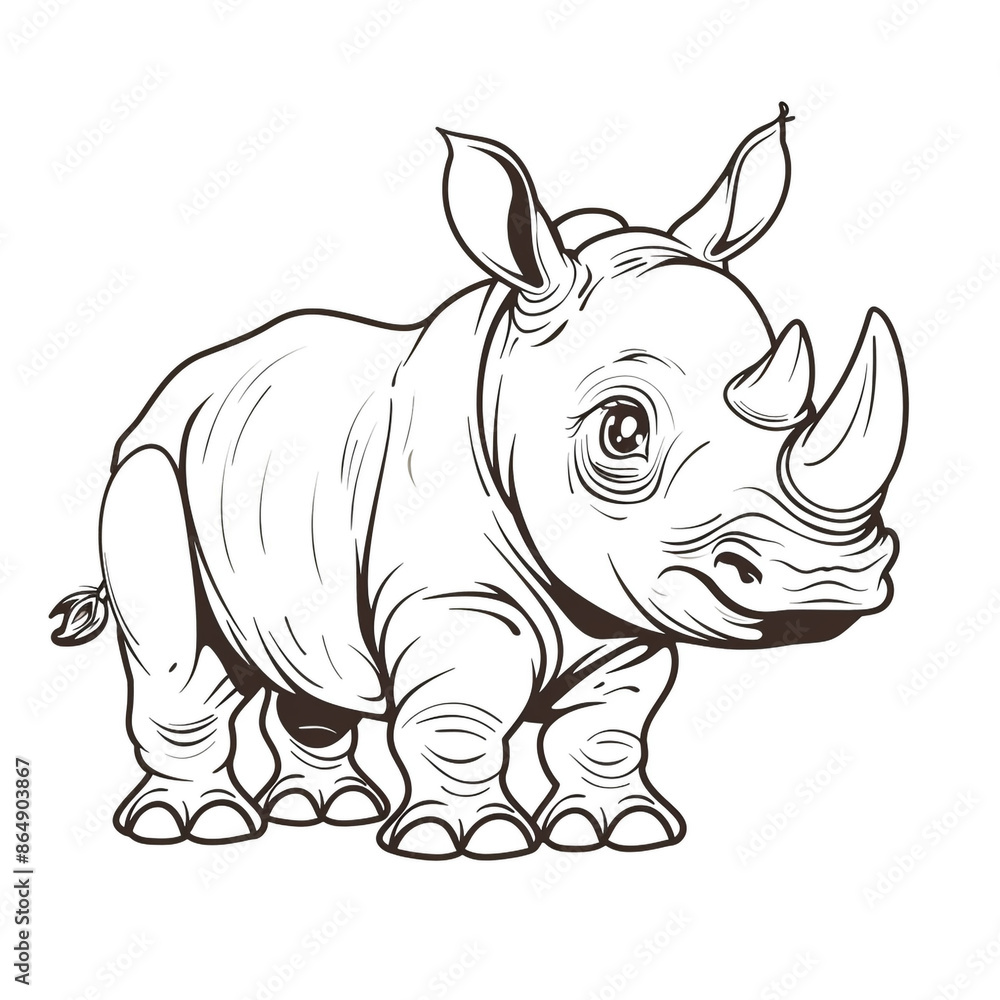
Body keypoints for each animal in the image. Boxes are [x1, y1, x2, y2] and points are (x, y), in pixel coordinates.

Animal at [51, 104, 907, 858]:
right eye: (623, 431)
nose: (827, 584)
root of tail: (169, 391)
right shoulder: (456, 596)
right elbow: (462, 716)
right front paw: (467, 841)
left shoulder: (626, 614)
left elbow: (608, 727)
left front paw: (619, 830)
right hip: (151, 471)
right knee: (184, 657)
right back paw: (198, 826)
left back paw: (324, 810)